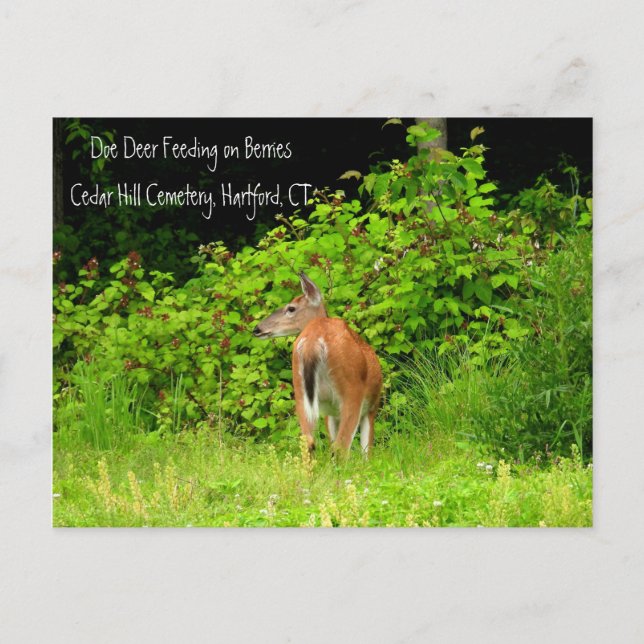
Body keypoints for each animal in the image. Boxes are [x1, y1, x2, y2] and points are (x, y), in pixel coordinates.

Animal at [253, 272, 382, 456]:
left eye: (291, 308)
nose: (257, 329)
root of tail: (313, 341)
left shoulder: (330, 413)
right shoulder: (372, 407)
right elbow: (366, 452)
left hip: (300, 391)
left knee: (308, 442)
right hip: (352, 393)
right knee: (341, 448)